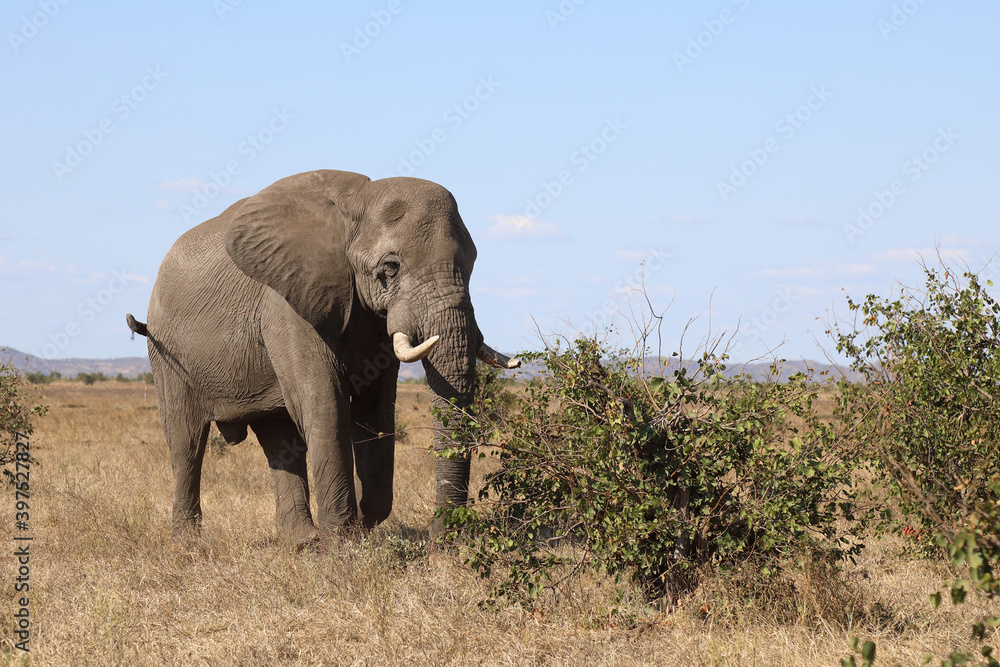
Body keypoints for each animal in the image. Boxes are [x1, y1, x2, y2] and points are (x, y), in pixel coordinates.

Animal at [127, 170, 516, 544]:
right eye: (390, 268)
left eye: (471, 264)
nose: (443, 537)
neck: (358, 203)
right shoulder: (286, 305)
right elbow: (326, 404)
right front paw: (343, 542)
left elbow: (375, 412)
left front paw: (362, 524)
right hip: (166, 351)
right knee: (187, 442)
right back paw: (188, 543)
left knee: (280, 441)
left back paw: (302, 540)